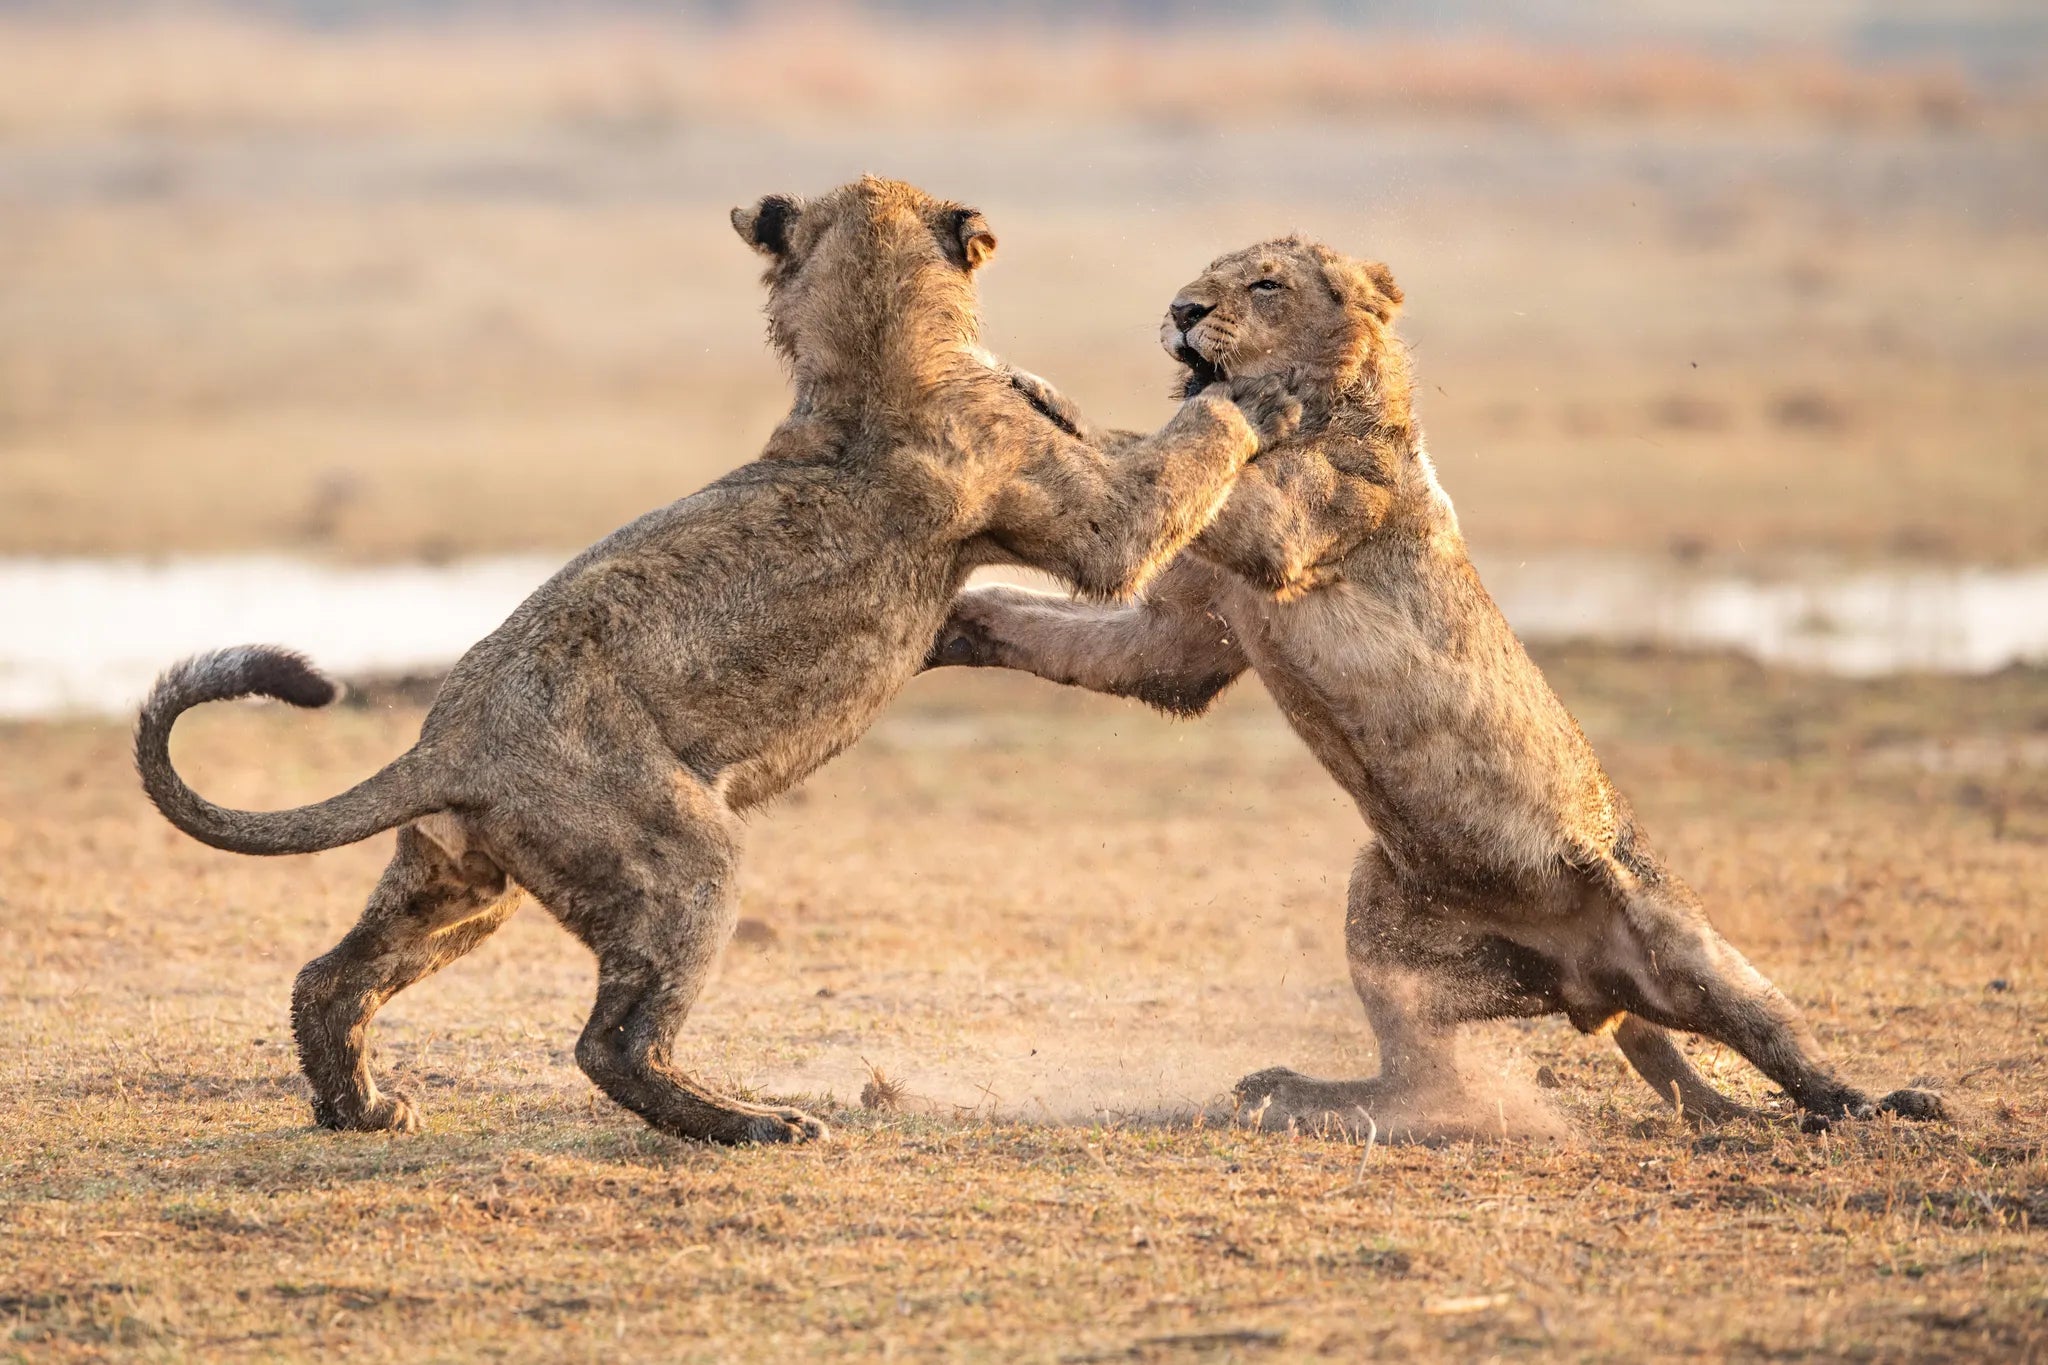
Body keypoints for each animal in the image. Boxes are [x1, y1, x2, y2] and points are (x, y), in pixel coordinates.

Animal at [135, 176, 1295, 1145]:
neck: (867, 355)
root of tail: (441, 741)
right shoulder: (1094, 524)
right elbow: (1175, 463)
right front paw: (1256, 399)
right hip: (683, 854)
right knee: (609, 1043)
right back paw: (757, 1123)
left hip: (460, 882)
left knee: (328, 980)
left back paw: (363, 1108)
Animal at [927, 235, 1947, 1137]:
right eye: (1205, 276)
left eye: (1263, 284)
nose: (1183, 311)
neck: (1340, 404)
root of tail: (1593, 989)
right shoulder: (1182, 638)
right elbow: (1066, 631)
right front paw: (951, 623)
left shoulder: (1291, 529)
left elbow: (1148, 444)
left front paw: (1041, 396)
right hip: (1389, 909)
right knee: (1422, 1077)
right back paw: (1298, 1093)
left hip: (1674, 937)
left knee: (1773, 1031)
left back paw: (1880, 1106)